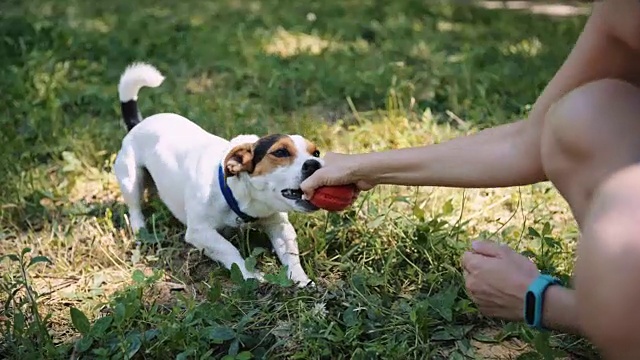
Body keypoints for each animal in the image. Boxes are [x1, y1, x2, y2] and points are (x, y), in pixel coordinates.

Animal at [111, 62, 324, 286]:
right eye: (280, 152)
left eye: (316, 152)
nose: (315, 164)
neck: (234, 193)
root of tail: (137, 123)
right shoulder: (199, 232)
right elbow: (229, 250)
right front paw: (250, 275)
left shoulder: (279, 225)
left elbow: (290, 255)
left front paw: (301, 279)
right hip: (130, 179)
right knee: (134, 208)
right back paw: (140, 230)